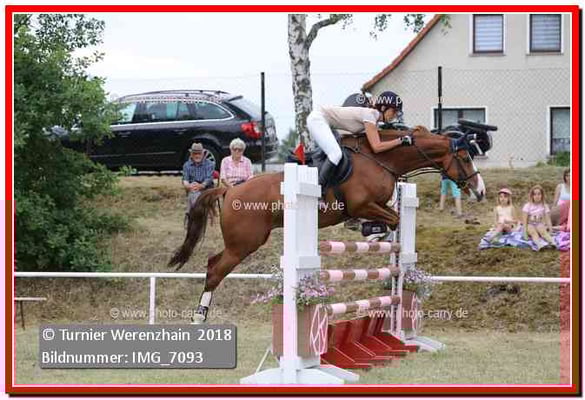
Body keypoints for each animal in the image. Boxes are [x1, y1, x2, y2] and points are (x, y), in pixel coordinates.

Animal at [169, 126, 489, 323]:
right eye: (464, 157)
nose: (480, 191)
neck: (381, 158)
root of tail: (229, 190)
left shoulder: (376, 204)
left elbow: (393, 218)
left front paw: (375, 235)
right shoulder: (361, 204)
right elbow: (392, 219)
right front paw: (374, 235)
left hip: (243, 242)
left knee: (213, 263)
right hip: (245, 243)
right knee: (214, 270)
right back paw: (199, 317)